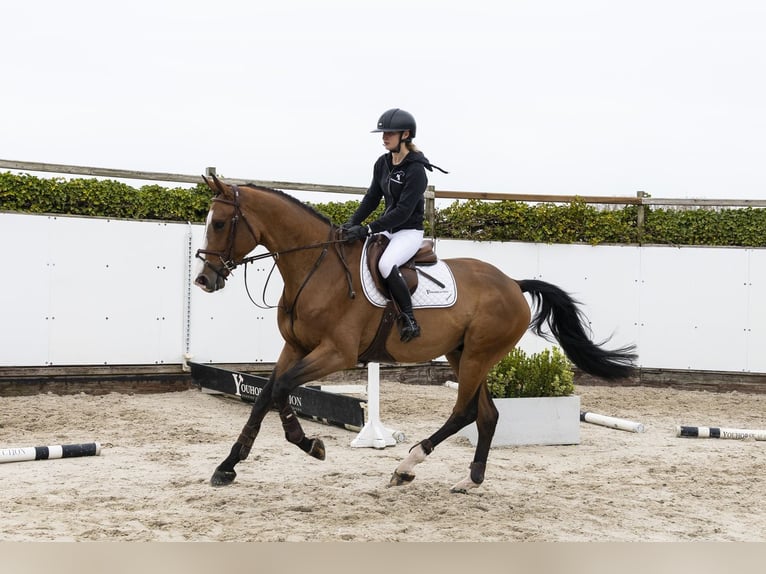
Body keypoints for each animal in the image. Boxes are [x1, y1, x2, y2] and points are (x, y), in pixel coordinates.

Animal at [194, 175, 637, 493]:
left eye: (220, 223)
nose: (203, 280)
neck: (315, 267)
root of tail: (513, 283)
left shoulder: (335, 353)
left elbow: (284, 388)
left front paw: (310, 444)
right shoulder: (295, 346)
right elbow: (266, 395)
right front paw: (228, 466)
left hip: (477, 356)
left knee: (465, 412)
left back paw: (407, 465)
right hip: (463, 354)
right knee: (487, 415)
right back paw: (470, 479)